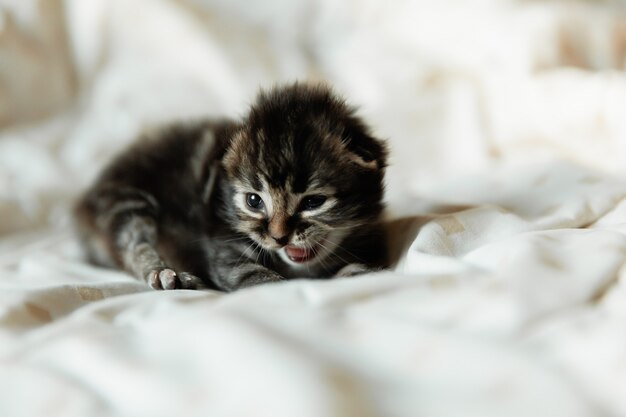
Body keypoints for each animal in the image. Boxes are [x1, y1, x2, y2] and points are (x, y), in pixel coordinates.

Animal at [73, 83, 386, 290]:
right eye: (254, 201)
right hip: (127, 199)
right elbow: (259, 278)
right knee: (135, 244)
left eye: (312, 202)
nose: (278, 237)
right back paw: (164, 272)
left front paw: (359, 275)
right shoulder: (225, 244)